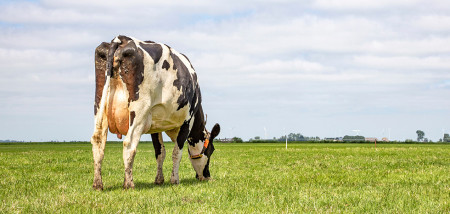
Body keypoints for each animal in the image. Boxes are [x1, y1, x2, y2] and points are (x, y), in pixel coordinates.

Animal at [90, 35, 221, 191]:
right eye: (211, 150)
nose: (207, 176)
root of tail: (122, 39)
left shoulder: (155, 124)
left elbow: (160, 152)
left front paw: (159, 179)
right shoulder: (187, 121)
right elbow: (177, 153)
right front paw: (174, 180)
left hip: (100, 105)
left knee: (98, 140)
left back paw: (98, 184)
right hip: (139, 110)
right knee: (129, 143)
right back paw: (129, 183)